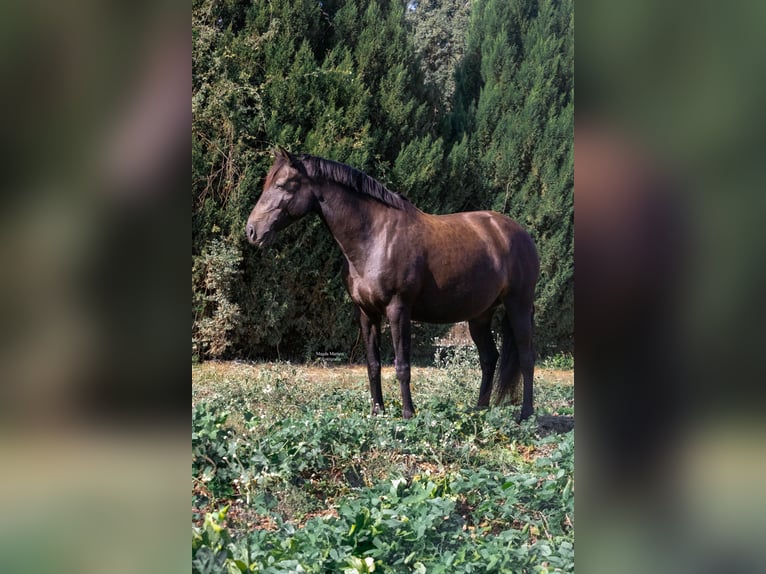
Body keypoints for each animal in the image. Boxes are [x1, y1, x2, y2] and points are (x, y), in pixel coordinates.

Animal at [246, 147, 540, 418]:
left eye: (281, 185)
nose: (252, 231)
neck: (375, 237)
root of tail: (518, 233)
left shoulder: (398, 310)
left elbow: (402, 365)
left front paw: (408, 414)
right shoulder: (367, 313)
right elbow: (373, 364)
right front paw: (378, 411)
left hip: (519, 305)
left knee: (526, 358)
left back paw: (526, 414)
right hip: (480, 315)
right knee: (489, 358)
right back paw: (479, 410)